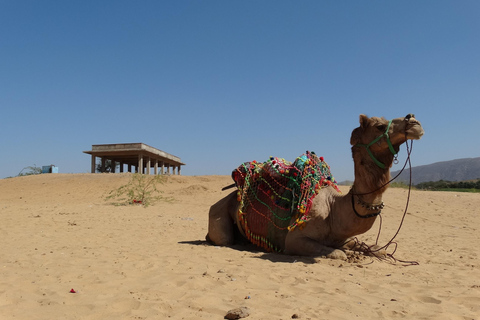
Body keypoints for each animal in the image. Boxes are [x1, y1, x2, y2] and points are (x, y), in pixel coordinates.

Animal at [206, 114, 424, 258]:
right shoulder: (294, 239)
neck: (334, 210)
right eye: (379, 126)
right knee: (224, 239)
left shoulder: (343, 237)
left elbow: (372, 247)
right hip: (218, 215)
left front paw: (380, 252)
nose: (414, 121)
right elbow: (338, 254)